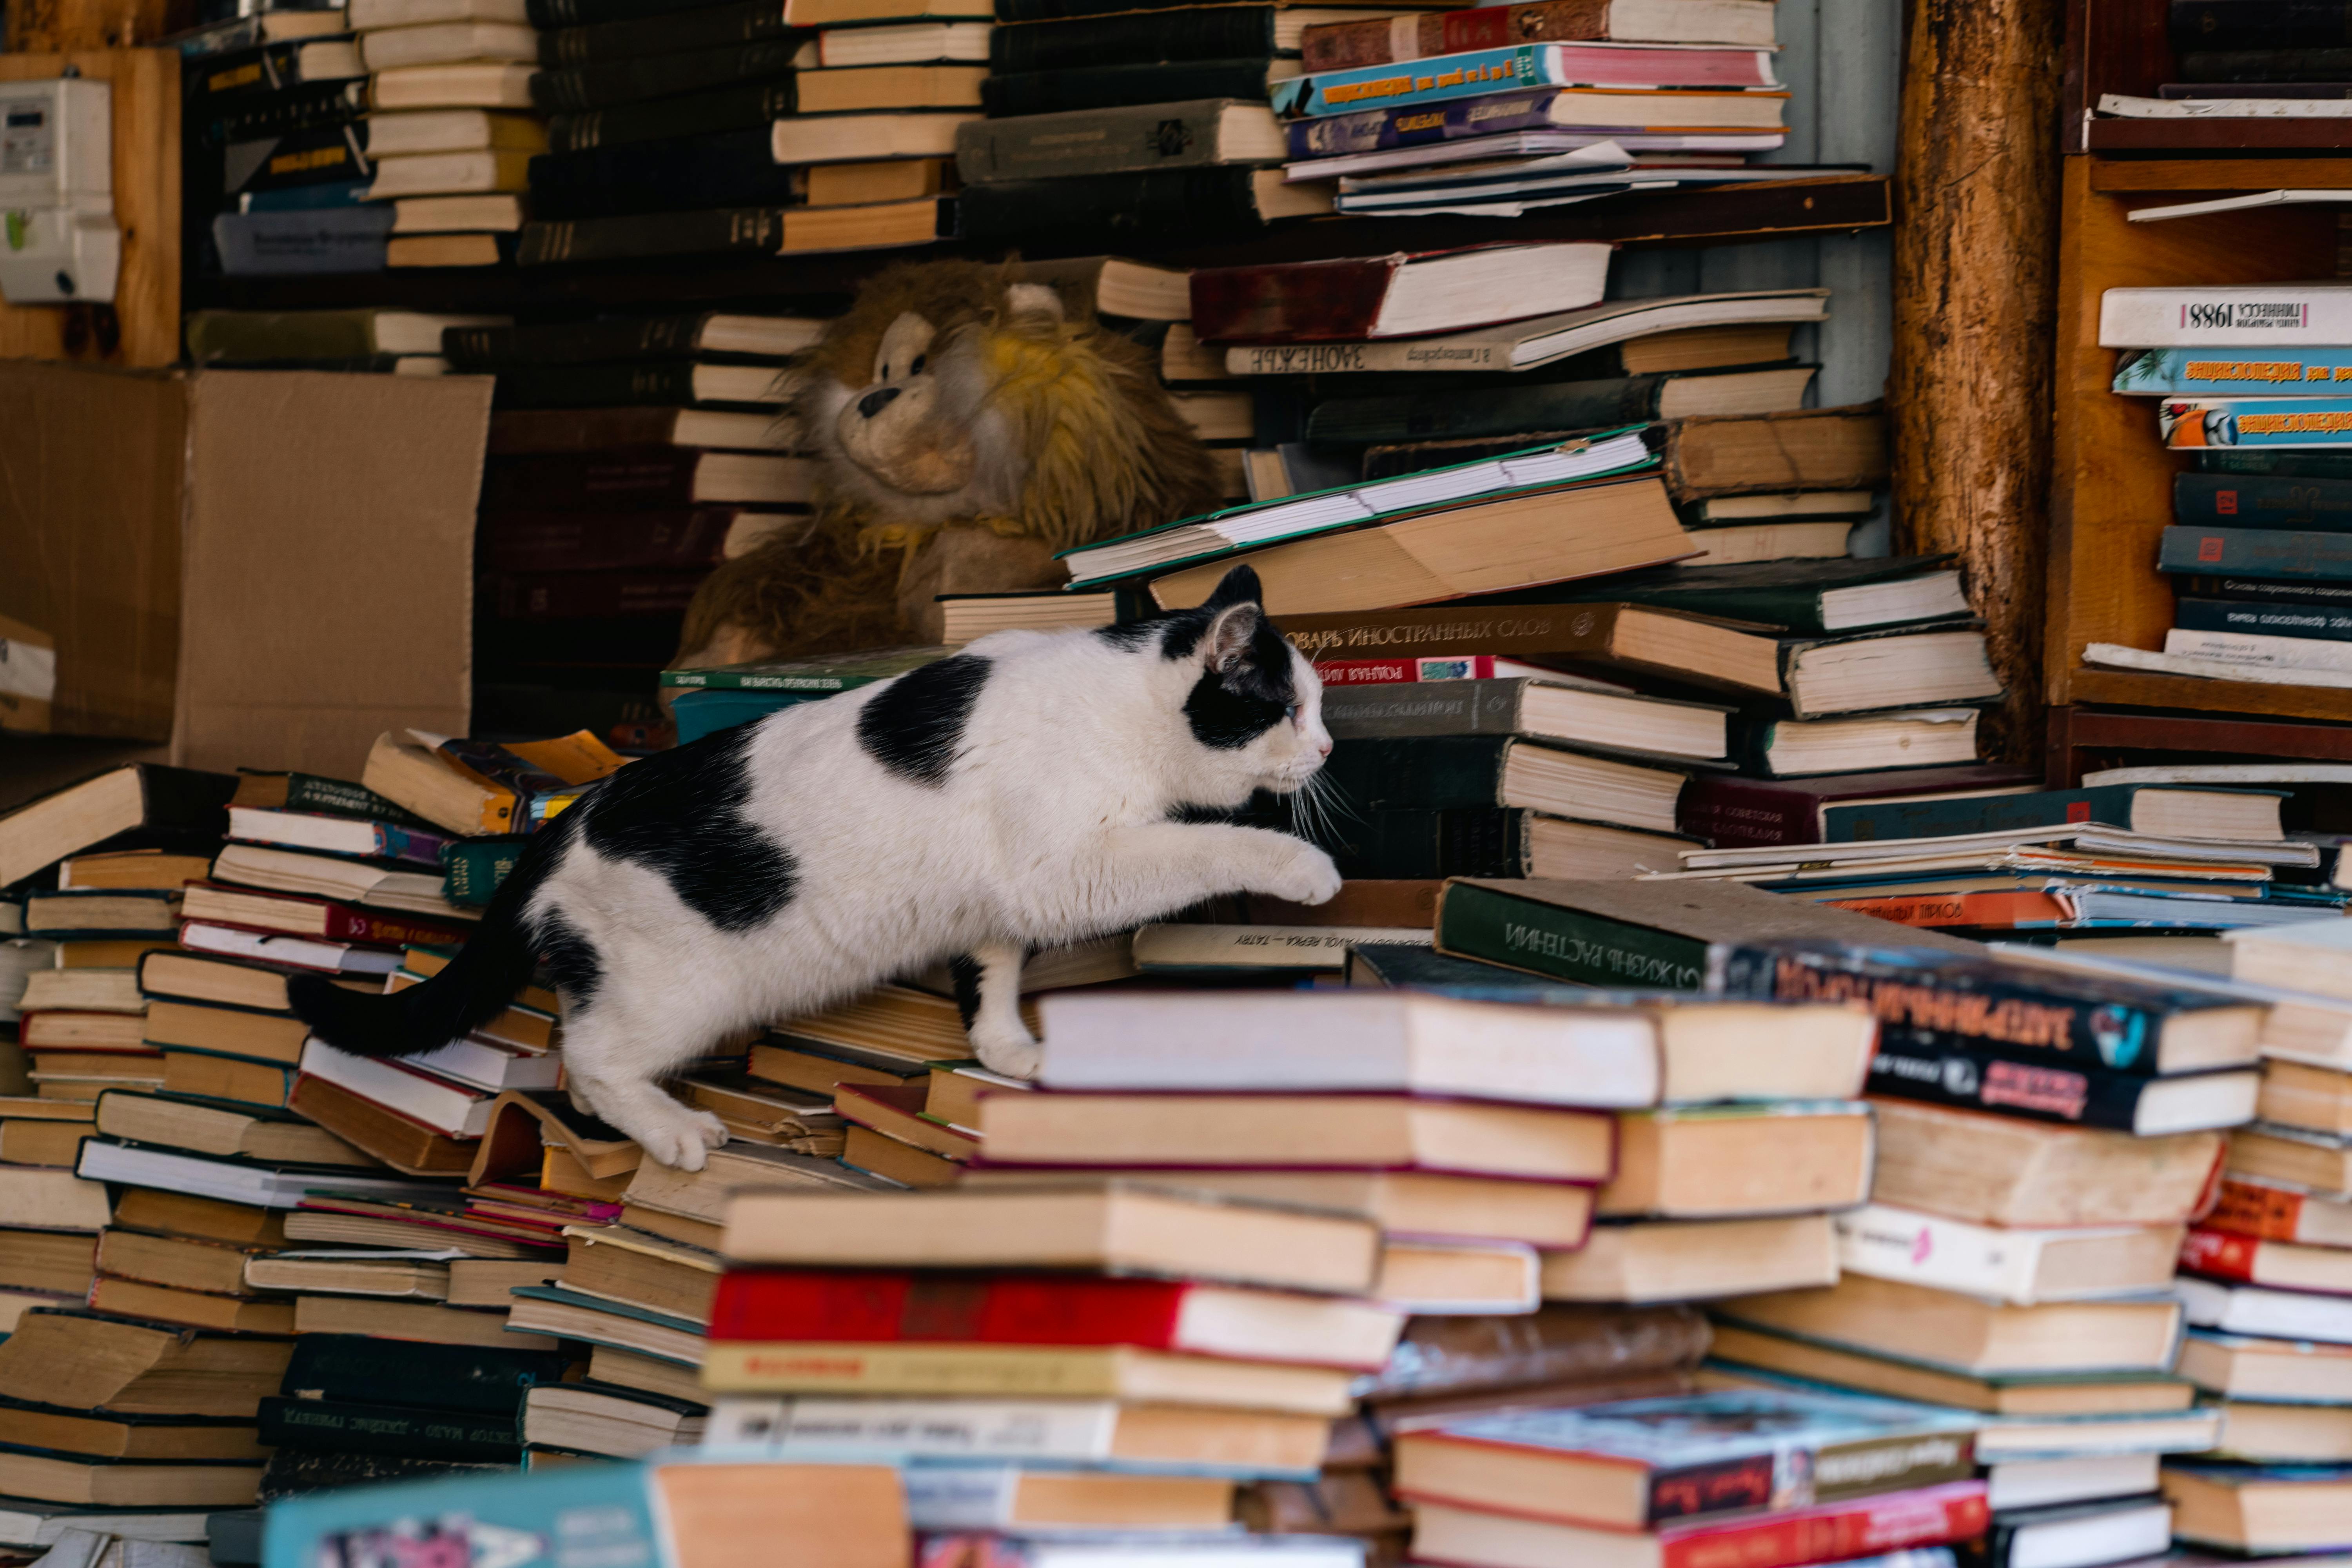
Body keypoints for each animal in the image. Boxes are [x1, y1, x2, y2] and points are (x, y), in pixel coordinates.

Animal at [289, 564, 1345, 1166]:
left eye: (1320, 706)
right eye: (1290, 709)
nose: (1330, 749)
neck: (1126, 706)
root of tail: (571, 812)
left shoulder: (997, 899)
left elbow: (994, 968)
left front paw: (1008, 1050)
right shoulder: (1068, 866)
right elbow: (1204, 843)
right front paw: (1301, 867)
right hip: (676, 993)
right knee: (589, 1055)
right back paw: (673, 1131)